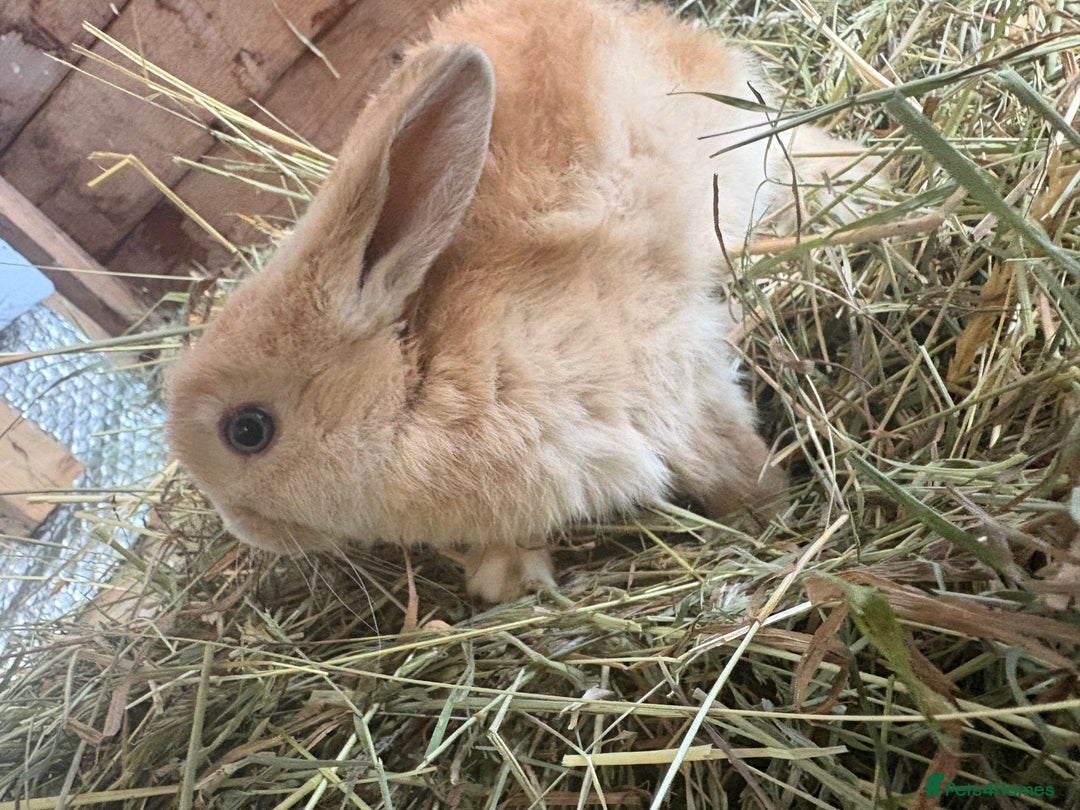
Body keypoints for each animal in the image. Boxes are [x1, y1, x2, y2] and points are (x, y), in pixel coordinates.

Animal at [167, 0, 870, 602]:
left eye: (248, 430)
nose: (241, 528)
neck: (418, 380)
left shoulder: (673, 381)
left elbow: (725, 455)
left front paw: (768, 513)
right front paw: (503, 578)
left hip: (746, 146)